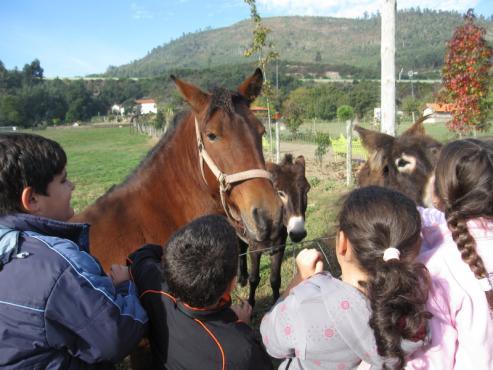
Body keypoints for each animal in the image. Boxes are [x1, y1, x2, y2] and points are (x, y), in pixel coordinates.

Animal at [237, 154, 310, 306]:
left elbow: (275, 280)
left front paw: (276, 302)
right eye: (280, 193)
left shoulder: (278, 248)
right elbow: (254, 279)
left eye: (307, 190)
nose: (298, 233)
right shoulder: (254, 249)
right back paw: (241, 279)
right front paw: (250, 303)